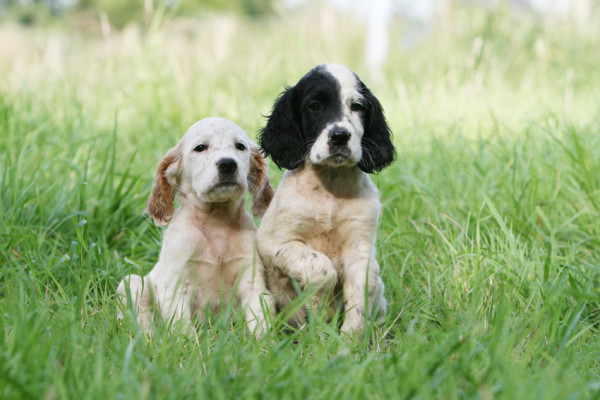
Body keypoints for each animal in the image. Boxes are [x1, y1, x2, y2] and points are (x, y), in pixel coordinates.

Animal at [116, 117, 274, 336]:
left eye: (240, 146)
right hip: (131, 284)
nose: (228, 164)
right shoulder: (176, 287)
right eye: (200, 147)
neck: (216, 223)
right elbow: (183, 331)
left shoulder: (253, 284)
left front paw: (265, 344)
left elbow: (261, 323)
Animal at [256, 63, 394, 334]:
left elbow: (360, 293)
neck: (330, 189)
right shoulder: (272, 241)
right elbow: (321, 267)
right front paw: (319, 315)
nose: (340, 136)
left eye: (357, 106)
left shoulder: (360, 249)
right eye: (315, 106)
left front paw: (350, 338)